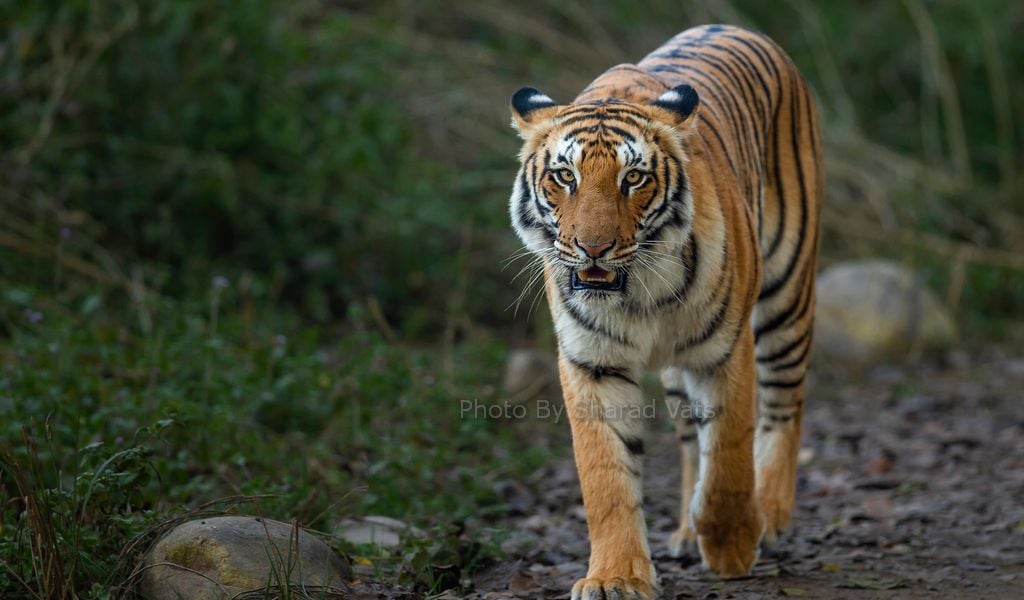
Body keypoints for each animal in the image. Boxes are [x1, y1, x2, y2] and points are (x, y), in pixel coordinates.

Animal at [506, 24, 823, 599]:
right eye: (564, 177)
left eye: (633, 179)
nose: (593, 248)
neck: (638, 291)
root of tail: (738, 27)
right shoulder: (593, 362)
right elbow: (607, 477)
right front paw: (614, 577)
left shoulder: (725, 351)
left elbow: (729, 454)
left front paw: (731, 545)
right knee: (690, 439)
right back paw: (686, 531)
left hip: (786, 294)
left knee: (784, 405)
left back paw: (768, 514)